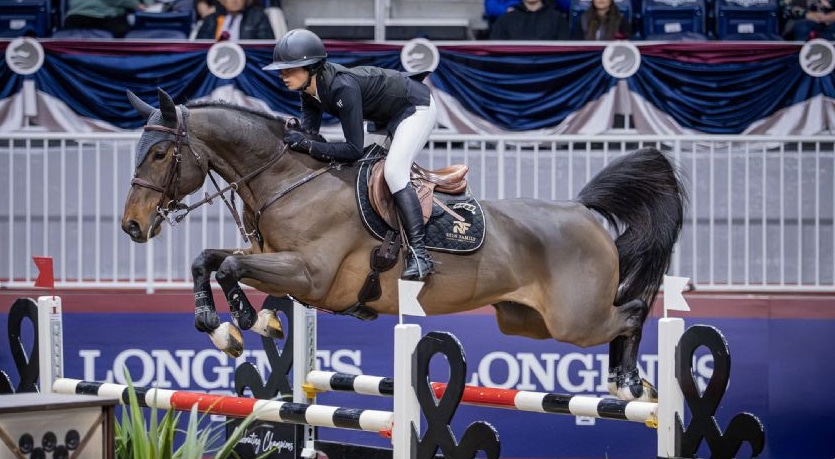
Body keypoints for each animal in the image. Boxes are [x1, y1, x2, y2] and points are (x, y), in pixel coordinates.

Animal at [121, 88, 686, 402]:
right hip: (528, 321)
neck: (290, 180)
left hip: (575, 320)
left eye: (160, 154)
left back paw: (629, 384)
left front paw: (250, 323)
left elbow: (229, 268)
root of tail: (584, 211)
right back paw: (628, 384)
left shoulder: (311, 276)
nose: (131, 225)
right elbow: (210, 262)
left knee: (632, 312)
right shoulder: (272, 260)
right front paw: (230, 328)